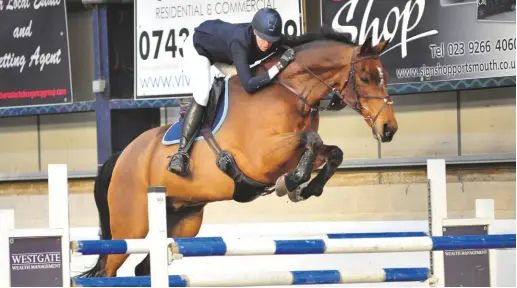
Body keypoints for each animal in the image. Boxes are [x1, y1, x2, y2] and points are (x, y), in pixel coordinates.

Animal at [76, 26, 398, 280]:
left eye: (384, 75)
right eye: (366, 78)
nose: (389, 129)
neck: (287, 92)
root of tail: (122, 156)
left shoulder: (289, 154)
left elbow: (330, 151)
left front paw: (306, 187)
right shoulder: (261, 157)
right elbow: (312, 139)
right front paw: (292, 184)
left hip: (182, 221)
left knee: (143, 268)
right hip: (130, 227)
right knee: (109, 268)